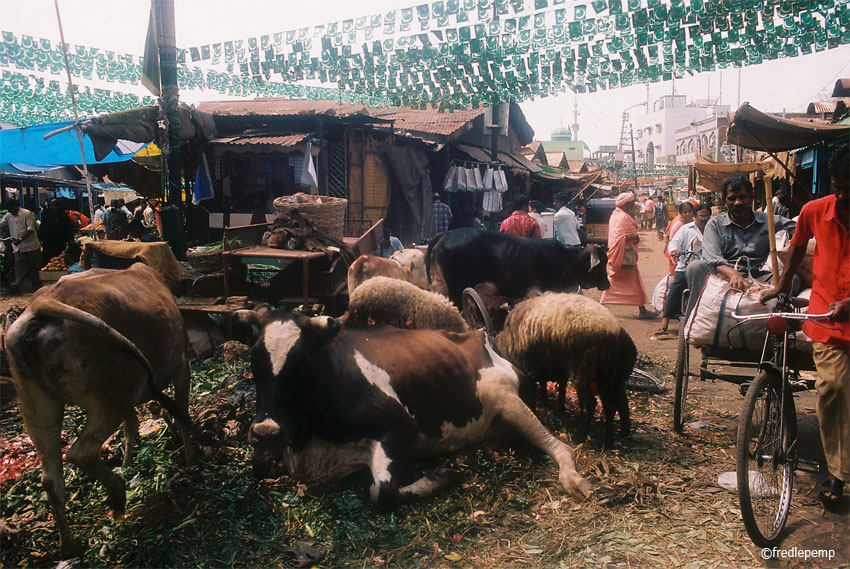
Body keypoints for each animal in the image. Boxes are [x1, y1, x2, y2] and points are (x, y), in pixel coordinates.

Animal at [5, 262, 194, 556]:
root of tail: (40, 303)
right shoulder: (182, 365)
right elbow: (181, 413)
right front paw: (192, 458)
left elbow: (132, 426)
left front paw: (127, 462)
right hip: (112, 396)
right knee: (80, 453)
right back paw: (117, 496)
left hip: (37, 406)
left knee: (51, 478)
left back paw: (71, 546)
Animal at [235, 308, 588, 508]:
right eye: (254, 359)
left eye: (304, 362)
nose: (267, 431)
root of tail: (481, 337)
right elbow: (258, 465)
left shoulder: (401, 426)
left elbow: (383, 494)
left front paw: (441, 477)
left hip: (505, 397)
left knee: (561, 446)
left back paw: (573, 479)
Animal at [424, 227, 608, 308]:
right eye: (602, 265)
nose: (608, 284)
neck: (566, 260)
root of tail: (447, 234)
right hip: (456, 290)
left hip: (441, 287)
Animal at [490, 292, 636, 448]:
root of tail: (614, 332)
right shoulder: (549, 368)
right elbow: (553, 388)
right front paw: (554, 409)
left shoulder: (529, 368)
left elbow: (535, 392)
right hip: (610, 379)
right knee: (614, 405)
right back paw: (611, 440)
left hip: (583, 372)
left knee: (592, 404)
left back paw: (581, 437)